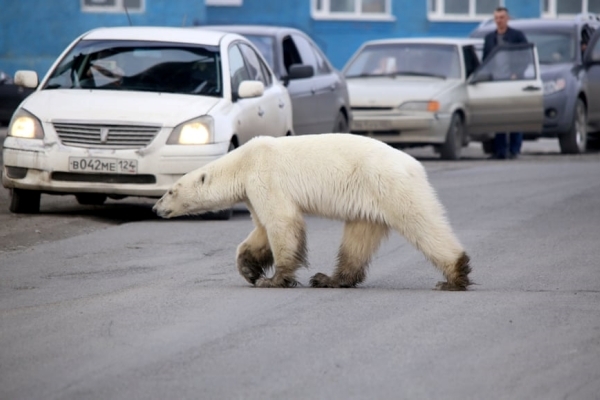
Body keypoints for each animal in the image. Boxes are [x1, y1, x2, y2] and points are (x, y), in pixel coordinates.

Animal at [154, 134, 474, 290]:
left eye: (170, 191)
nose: (156, 208)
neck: (243, 161)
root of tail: (415, 165)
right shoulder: (253, 191)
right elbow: (261, 230)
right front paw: (249, 269)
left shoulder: (265, 176)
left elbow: (281, 222)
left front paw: (274, 280)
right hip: (369, 201)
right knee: (358, 238)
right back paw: (330, 279)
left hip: (389, 185)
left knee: (421, 223)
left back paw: (454, 276)